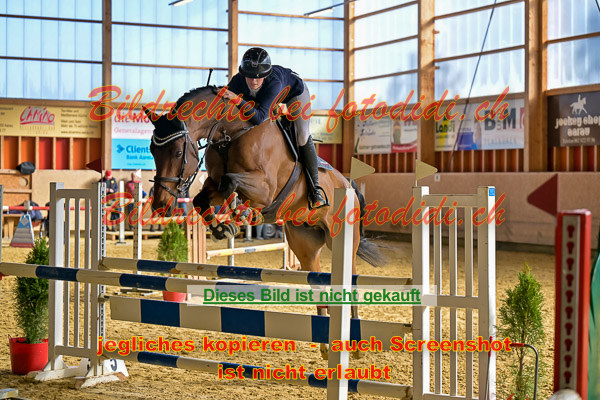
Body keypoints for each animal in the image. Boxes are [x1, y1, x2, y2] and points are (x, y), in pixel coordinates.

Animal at [145, 86, 387, 358]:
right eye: (152, 151)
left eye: (178, 152)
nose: (160, 204)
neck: (230, 134)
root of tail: (349, 186)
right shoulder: (213, 184)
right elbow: (202, 197)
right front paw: (222, 227)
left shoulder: (265, 186)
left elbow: (231, 182)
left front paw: (244, 214)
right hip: (305, 246)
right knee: (318, 283)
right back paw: (326, 345)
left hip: (343, 241)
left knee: (351, 281)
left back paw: (355, 345)